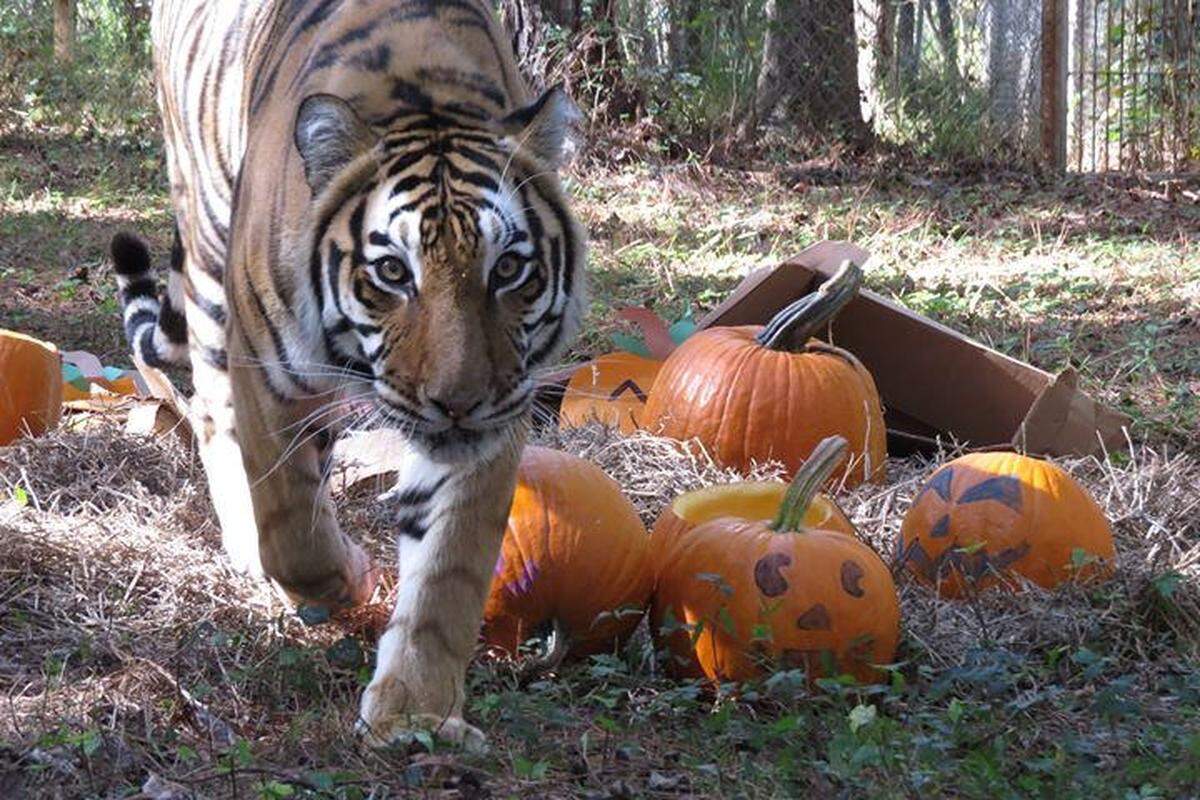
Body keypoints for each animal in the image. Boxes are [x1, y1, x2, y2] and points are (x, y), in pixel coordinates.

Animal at [110, 0, 586, 748]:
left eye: (508, 268)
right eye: (392, 271)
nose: (458, 400)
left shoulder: (498, 412)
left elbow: (448, 568)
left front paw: (417, 711)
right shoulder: (269, 380)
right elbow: (293, 533)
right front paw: (351, 581)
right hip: (210, 262)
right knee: (214, 419)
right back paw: (247, 547)